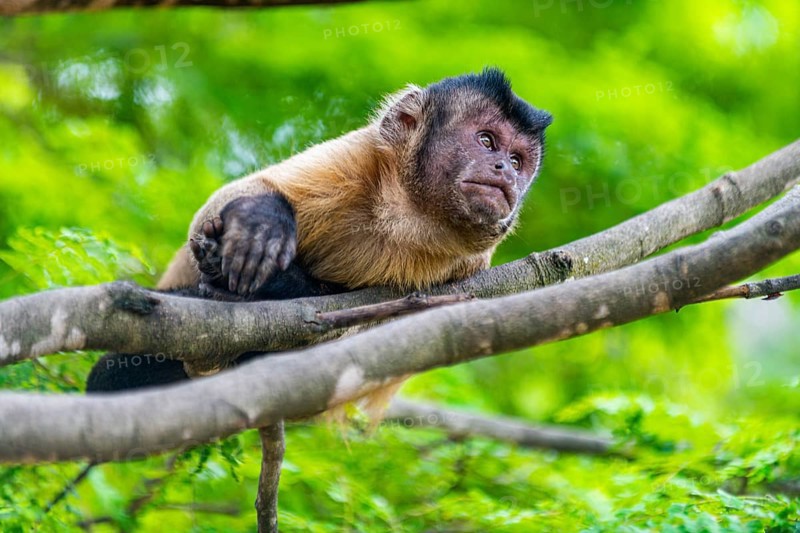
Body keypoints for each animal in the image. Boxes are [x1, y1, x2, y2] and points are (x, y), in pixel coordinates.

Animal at [86, 67, 553, 393]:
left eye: (517, 161)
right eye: (487, 141)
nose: (504, 170)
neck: (405, 217)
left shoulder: (470, 266)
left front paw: (278, 285)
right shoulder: (355, 158)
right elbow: (223, 206)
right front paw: (261, 223)